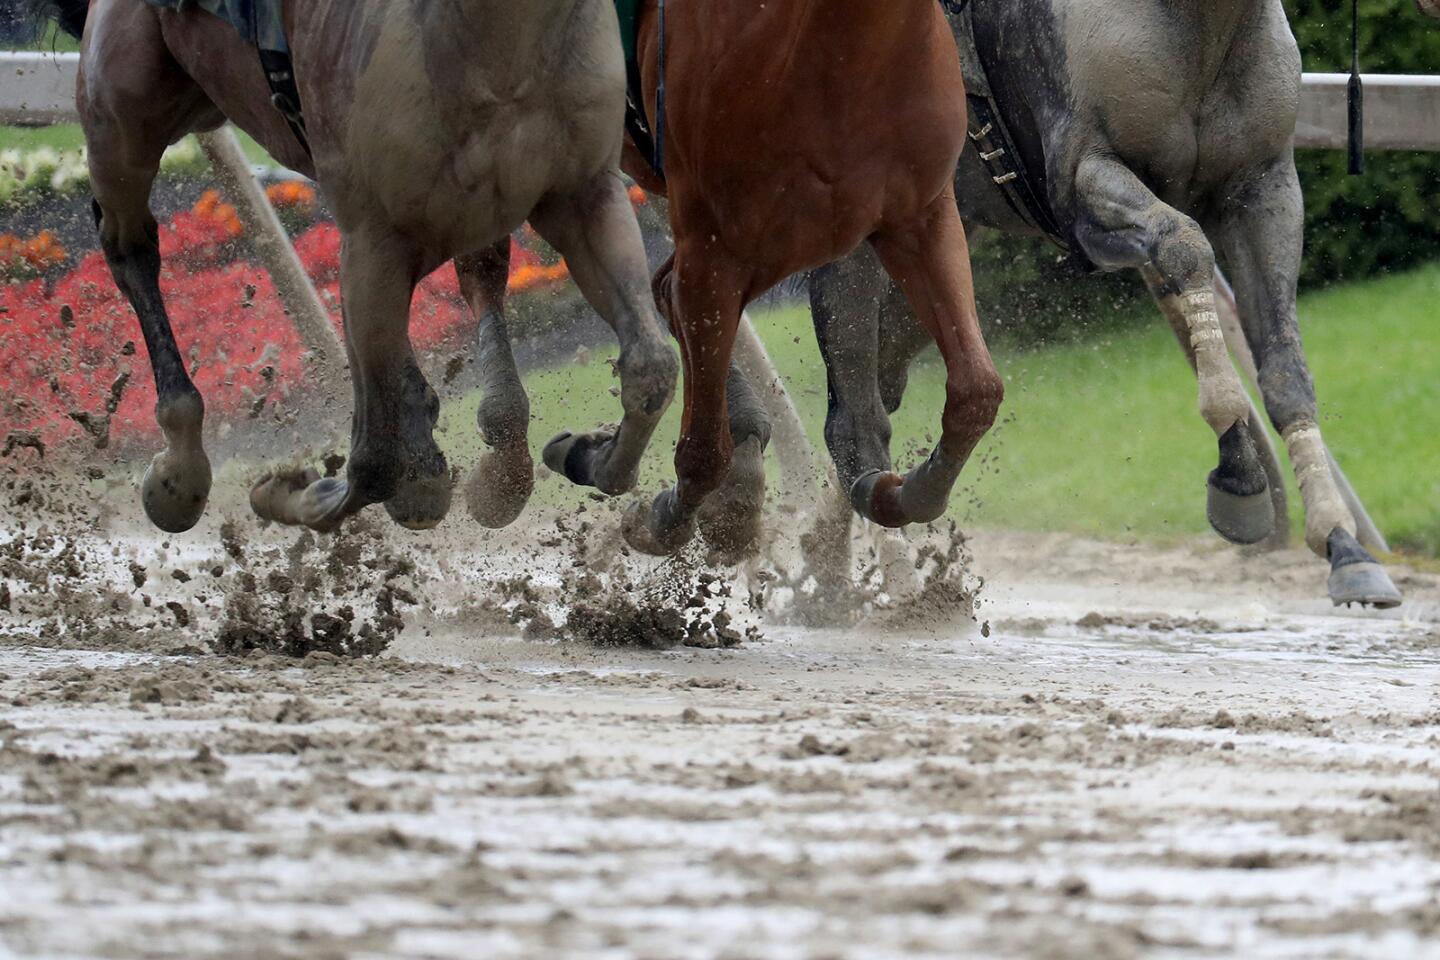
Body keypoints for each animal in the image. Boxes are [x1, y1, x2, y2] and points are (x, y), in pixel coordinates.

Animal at [35, 0, 679, 532]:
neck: (500, 34)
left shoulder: (583, 193)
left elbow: (652, 367)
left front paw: (585, 454)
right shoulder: (372, 233)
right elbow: (373, 461)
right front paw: (293, 489)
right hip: (123, 113)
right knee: (130, 247)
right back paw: (179, 470)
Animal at [812, 0, 1405, 607]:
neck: (1201, 24)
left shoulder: (1262, 190)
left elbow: (1284, 370)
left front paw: (1343, 546)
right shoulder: (1086, 178)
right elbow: (1185, 245)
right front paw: (1239, 470)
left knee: (882, 388)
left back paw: (835, 565)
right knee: (854, 417)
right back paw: (890, 579)